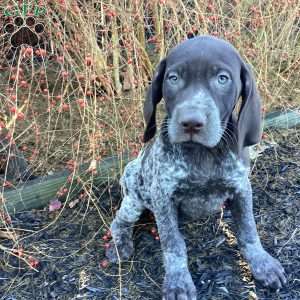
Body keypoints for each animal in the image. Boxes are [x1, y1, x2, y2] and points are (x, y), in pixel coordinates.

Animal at [106, 34, 286, 298]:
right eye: (173, 78)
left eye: (222, 78)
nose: (191, 122)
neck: (204, 154)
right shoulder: (163, 197)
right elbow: (173, 245)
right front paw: (178, 282)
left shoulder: (241, 187)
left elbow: (248, 230)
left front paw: (262, 263)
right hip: (134, 199)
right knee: (118, 222)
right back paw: (120, 246)